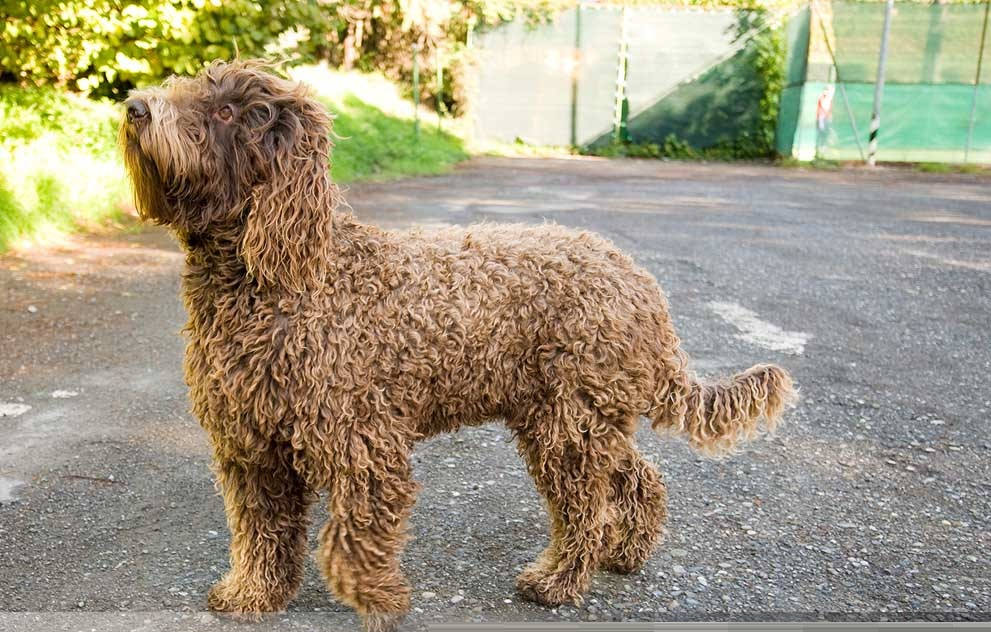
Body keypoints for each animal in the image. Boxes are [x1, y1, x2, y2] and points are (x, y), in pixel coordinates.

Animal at [118, 60, 800, 632]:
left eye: (229, 112)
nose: (135, 107)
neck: (284, 279)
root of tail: (637, 280)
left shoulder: (363, 445)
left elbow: (350, 540)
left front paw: (379, 599)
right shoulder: (251, 446)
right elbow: (260, 531)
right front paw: (253, 594)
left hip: (567, 426)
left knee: (586, 506)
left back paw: (558, 580)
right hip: (579, 415)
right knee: (636, 479)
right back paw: (627, 552)